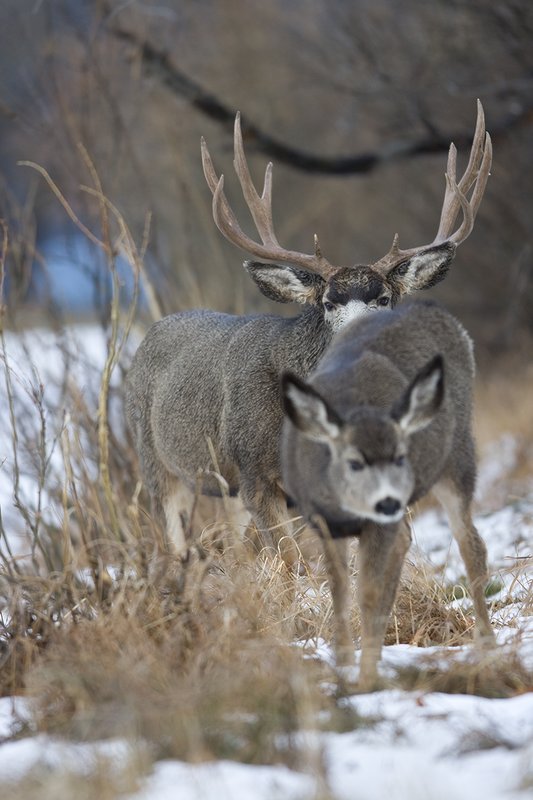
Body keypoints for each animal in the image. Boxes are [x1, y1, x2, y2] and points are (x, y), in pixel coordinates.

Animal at [125, 102, 492, 567]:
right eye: (329, 302)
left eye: (384, 298)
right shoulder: (255, 475)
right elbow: (289, 561)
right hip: (157, 462)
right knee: (175, 539)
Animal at [280, 298, 495, 690]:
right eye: (353, 462)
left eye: (400, 456)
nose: (387, 501)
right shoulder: (322, 520)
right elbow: (338, 587)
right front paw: (343, 662)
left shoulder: (376, 524)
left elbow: (367, 590)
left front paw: (365, 677)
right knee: (407, 539)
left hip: (457, 458)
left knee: (471, 543)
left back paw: (487, 643)